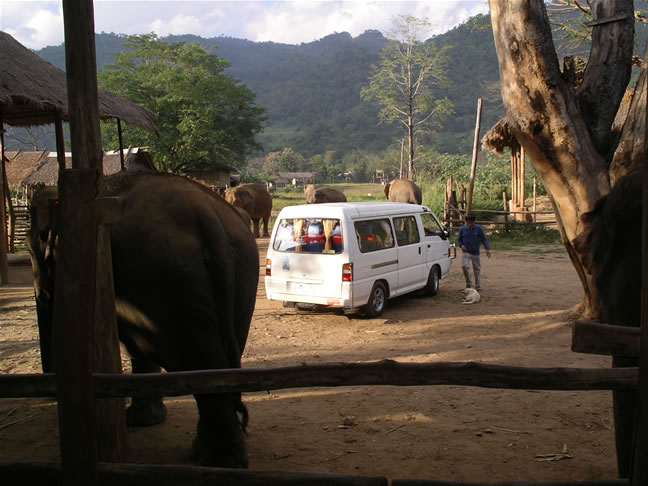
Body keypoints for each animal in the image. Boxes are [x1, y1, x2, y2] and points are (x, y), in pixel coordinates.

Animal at [26, 171, 259, 468]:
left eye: (30, 251)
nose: (43, 293)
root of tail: (206, 216)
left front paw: (135, 421)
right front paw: (145, 421)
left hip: (166, 276)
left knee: (199, 359)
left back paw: (216, 460)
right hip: (241, 274)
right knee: (221, 363)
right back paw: (214, 455)